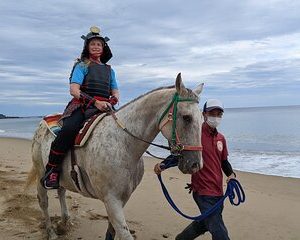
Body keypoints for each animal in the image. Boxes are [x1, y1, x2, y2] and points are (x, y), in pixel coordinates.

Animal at [27, 73, 204, 240]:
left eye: (202, 119)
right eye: (186, 117)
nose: (195, 164)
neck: (123, 143)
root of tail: (42, 123)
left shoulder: (122, 199)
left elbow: (112, 231)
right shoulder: (111, 200)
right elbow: (124, 234)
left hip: (62, 177)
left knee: (61, 192)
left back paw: (63, 223)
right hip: (41, 173)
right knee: (43, 201)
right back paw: (51, 232)